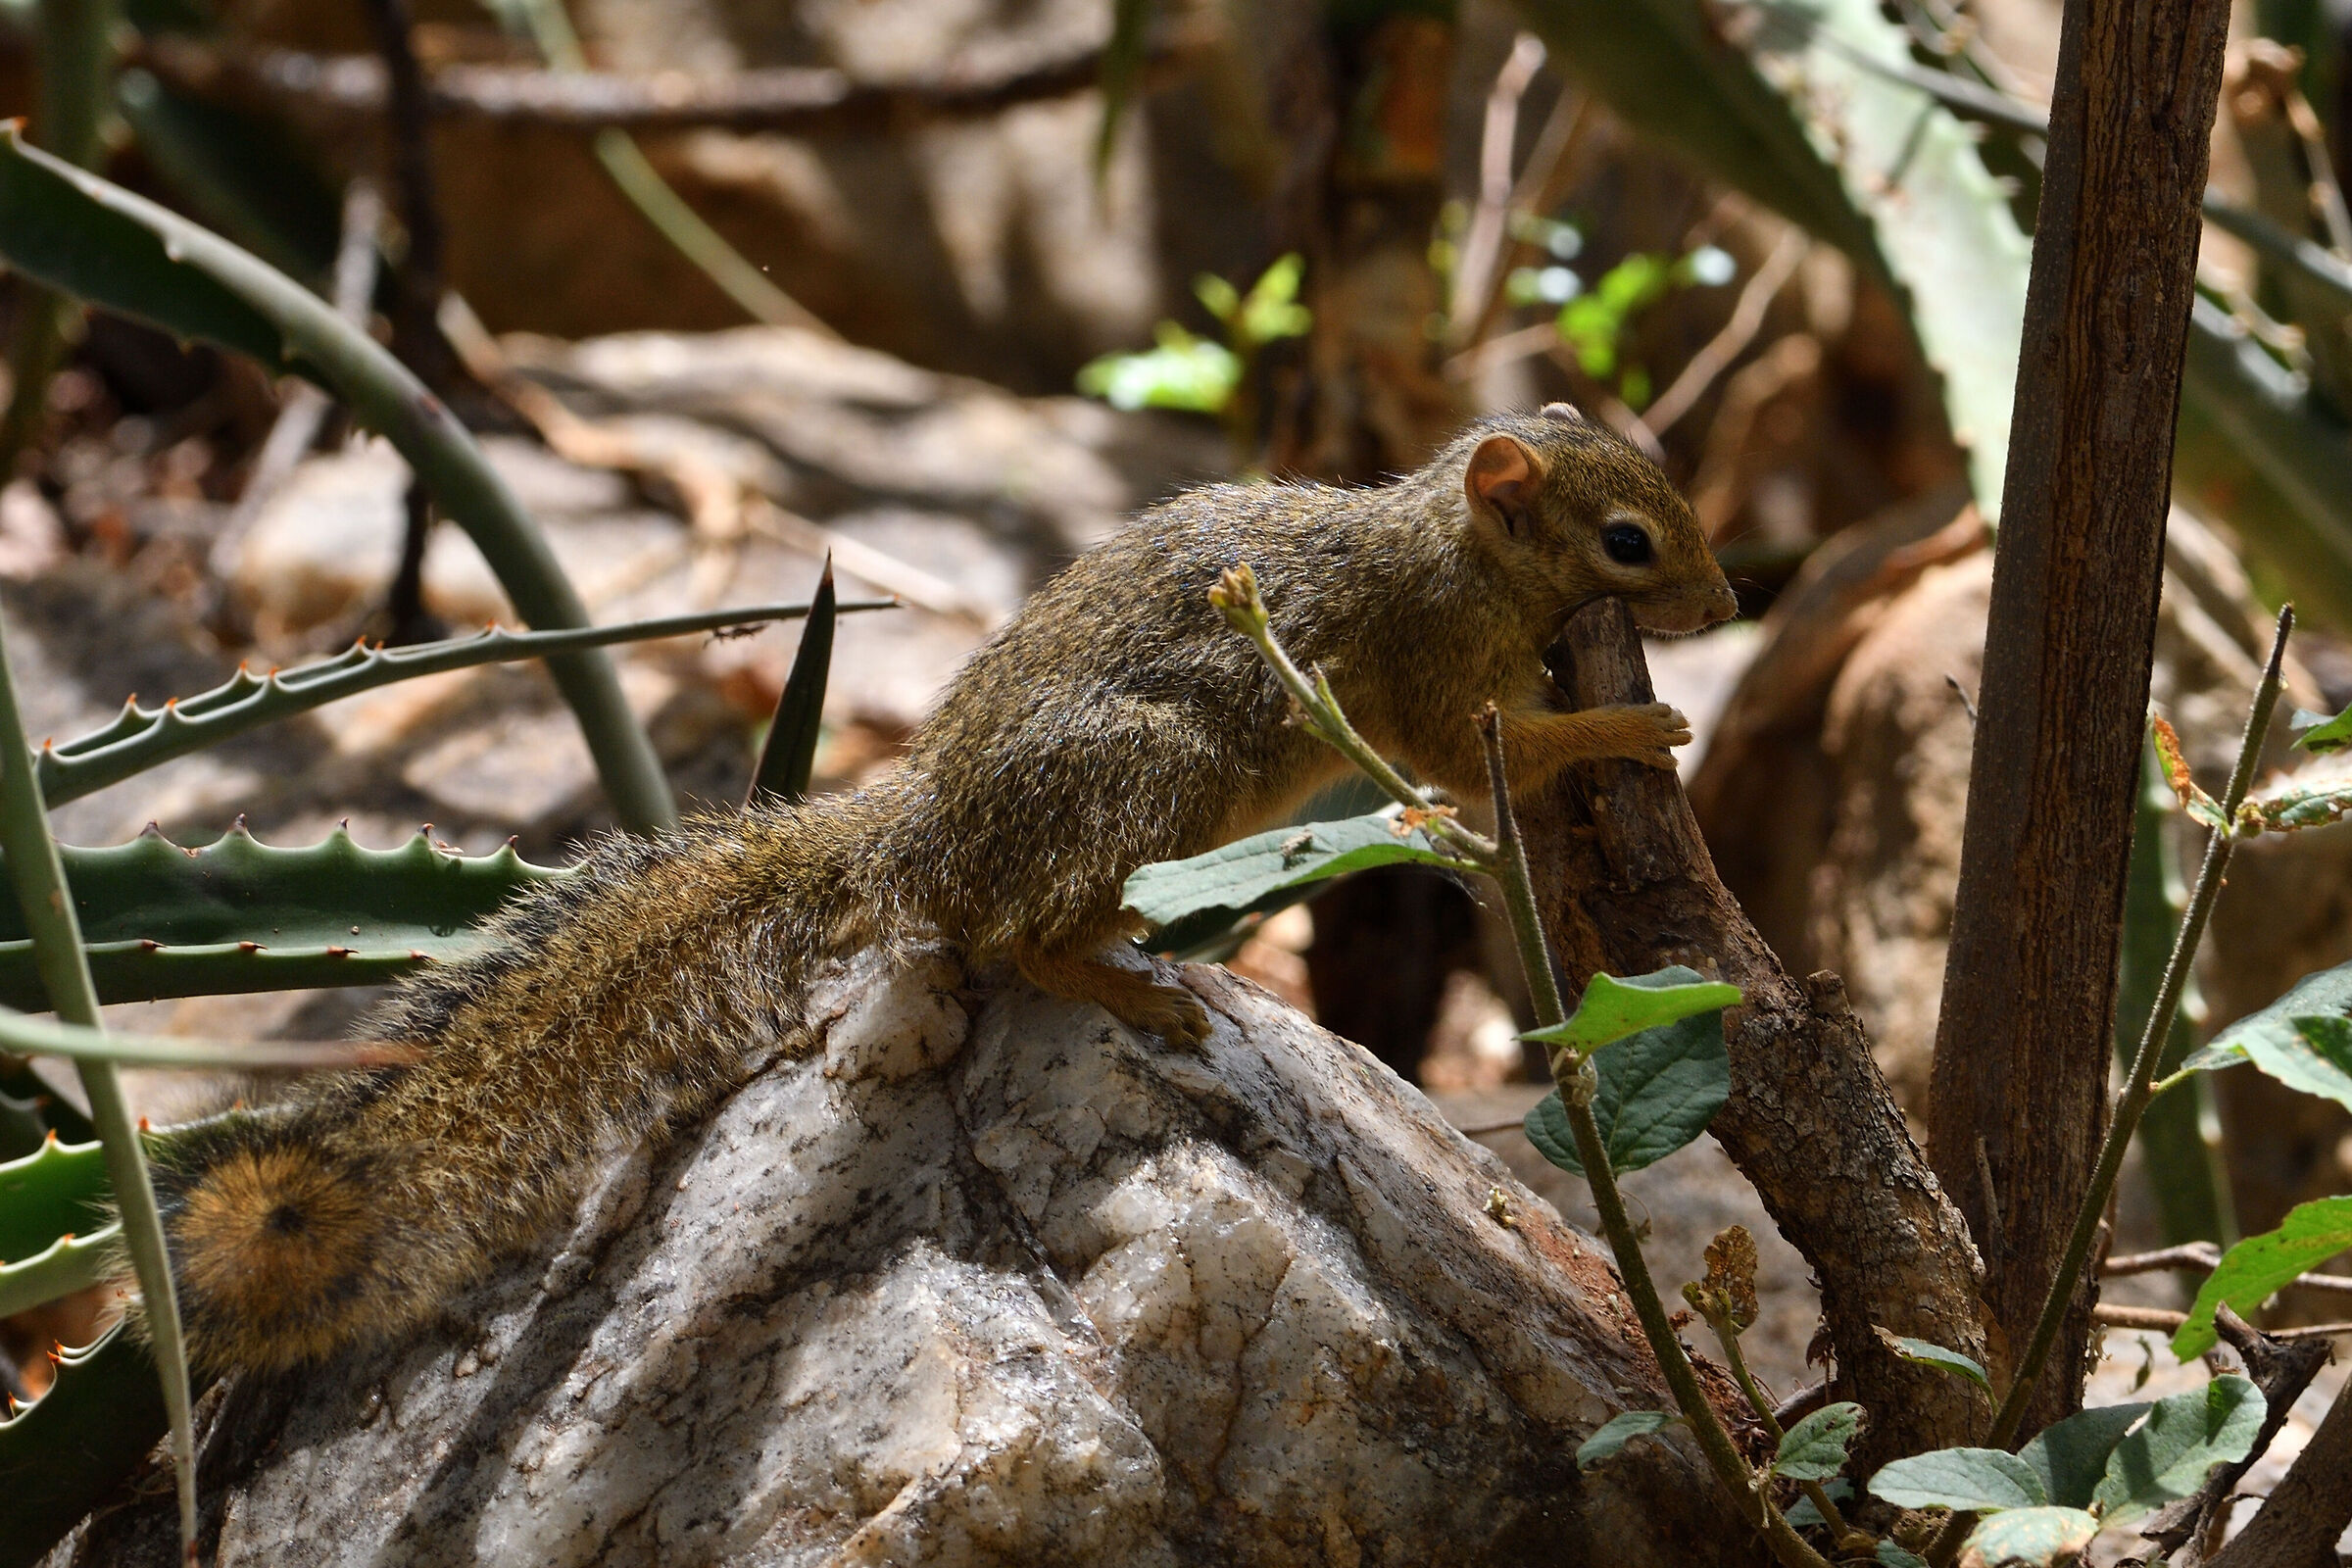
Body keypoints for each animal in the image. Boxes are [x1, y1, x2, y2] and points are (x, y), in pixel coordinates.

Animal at [141, 403, 1737, 1377]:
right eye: (1628, 540)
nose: (1723, 606)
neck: (1453, 546)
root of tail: (920, 838)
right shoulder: (1426, 671)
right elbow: (1487, 756)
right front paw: (1626, 723)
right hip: (1152, 769)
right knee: (1013, 941)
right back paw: (1130, 984)